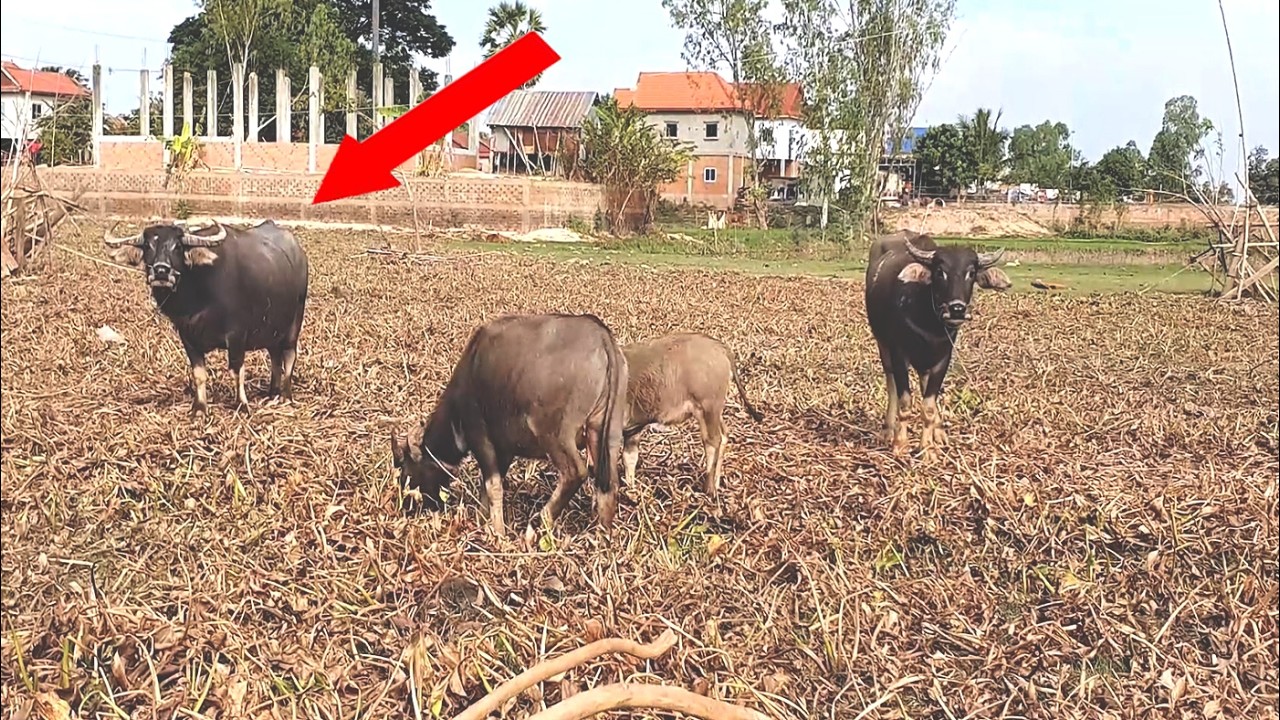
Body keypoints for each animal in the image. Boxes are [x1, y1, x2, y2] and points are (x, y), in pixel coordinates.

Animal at [104, 219, 310, 415]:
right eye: (147, 246)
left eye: (178, 246)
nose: (161, 271)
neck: (199, 299)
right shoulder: (188, 337)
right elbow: (199, 374)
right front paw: (200, 407)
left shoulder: (237, 336)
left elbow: (237, 370)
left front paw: (242, 404)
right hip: (273, 331)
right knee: (275, 357)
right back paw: (272, 392)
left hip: (295, 321)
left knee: (289, 355)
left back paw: (285, 395)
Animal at [391, 313, 628, 538]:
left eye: (407, 472)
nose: (407, 508)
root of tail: (602, 336)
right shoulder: (504, 449)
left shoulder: (479, 435)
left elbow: (493, 485)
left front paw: (498, 532)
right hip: (606, 432)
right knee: (609, 485)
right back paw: (603, 536)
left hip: (554, 434)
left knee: (575, 473)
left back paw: (539, 523)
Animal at [864, 230, 1012, 459]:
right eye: (940, 271)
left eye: (971, 272)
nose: (957, 309)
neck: (928, 322)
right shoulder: (899, 354)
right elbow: (905, 401)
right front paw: (900, 443)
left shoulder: (943, 358)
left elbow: (929, 407)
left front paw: (927, 448)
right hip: (882, 343)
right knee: (891, 383)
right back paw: (888, 429)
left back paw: (939, 433)